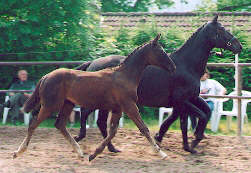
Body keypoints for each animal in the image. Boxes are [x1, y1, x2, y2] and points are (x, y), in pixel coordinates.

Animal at [12, 33, 176, 161]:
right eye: (161, 51)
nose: (173, 67)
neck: (124, 76)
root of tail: (45, 77)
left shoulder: (118, 109)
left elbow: (112, 131)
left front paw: (94, 154)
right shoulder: (129, 106)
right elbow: (143, 128)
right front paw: (161, 153)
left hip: (68, 104)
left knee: (60, 124)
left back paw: (80, 152)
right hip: (50, 105)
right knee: (34, 124)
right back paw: (18, 152)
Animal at [74, 15, 241, 153]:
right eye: (221, 29)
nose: (238, 46)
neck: (187, 66)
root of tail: (92, 63)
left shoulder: (187, 100)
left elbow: (192, 116)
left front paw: (166, 139)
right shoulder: (182, 101)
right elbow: (197, 118)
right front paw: (193, 143)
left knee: (100, 121)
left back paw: (110, 147)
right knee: (86, 113)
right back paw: (82, 137)